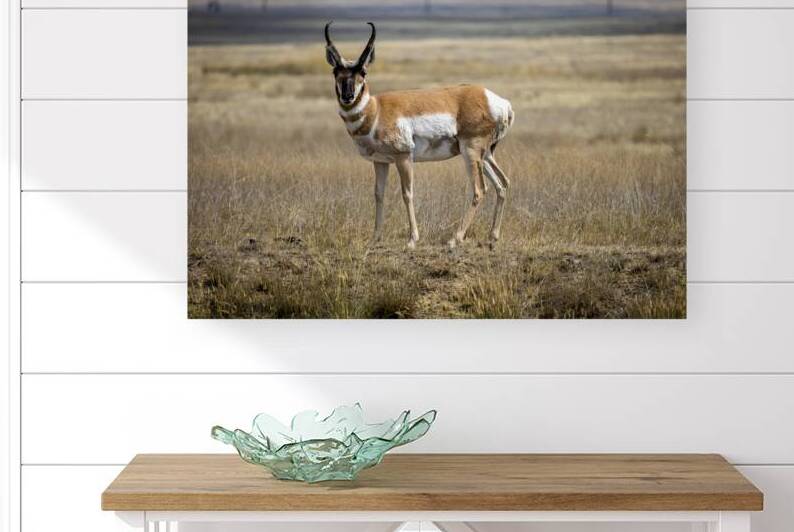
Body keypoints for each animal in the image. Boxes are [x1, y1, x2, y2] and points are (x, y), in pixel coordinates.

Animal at [325, 22, 514, 250]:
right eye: (336, 71)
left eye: (363, 71)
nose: (348, 96)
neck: (376, 110)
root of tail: (498, 101)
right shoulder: (381, 162)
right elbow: (379, 194)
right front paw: (374, 238)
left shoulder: (404, 157)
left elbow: (407, 194)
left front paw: (412, 240)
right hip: (484, 156)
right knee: (502, 183)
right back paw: (492, 238)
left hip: (471, 152)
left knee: (479, 189)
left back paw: (455, 238)